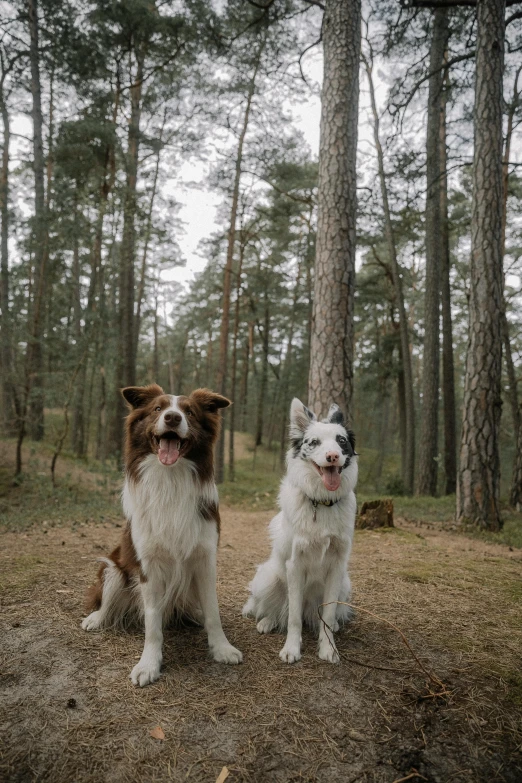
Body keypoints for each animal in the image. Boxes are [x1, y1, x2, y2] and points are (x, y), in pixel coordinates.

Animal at [83, 386, 242, 688]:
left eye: (189, 412)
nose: (172, 418)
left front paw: (221, 647)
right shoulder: (149, 566)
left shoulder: (205, 559)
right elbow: (153, 622)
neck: (171, 480)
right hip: (113, 569)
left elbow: (213, 611)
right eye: (157, 409)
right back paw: (96, 618)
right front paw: (149, 664)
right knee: (108, 600)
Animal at [242, 402, 356, 664]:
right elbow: (293, 618)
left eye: (341, 441)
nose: (333, 456)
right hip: (268, 577)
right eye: (314, 442)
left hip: (345, 583)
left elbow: (328, 613)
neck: (322, 503)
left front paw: (328, 649)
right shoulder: (295, 565)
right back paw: (267, 621)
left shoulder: (337, 567)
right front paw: (292, 649)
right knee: (279, 610)